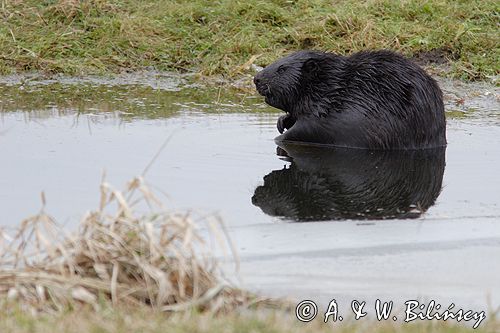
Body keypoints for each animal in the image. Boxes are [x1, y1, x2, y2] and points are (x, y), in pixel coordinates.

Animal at [256, 50, 448, 148]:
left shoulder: (330, 116)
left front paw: (279, 138)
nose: (256, 79)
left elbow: (307, 129)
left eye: (282, 69)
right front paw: (282, 121)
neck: (330, 88)